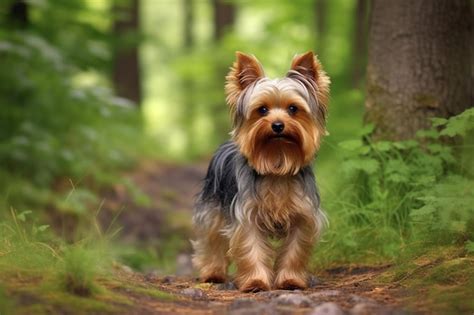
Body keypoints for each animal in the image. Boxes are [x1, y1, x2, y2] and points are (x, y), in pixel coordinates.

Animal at [192, 51, 330, 294]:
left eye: (293, 109)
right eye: (262, 110)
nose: (277, 125)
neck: (277, 163)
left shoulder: (303, 216)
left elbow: (295, 249)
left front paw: (290, 280)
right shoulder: (246, 216)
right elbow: (251, 247)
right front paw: (255, 282)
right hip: (212, 208)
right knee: (211, 240)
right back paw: (213, 273)